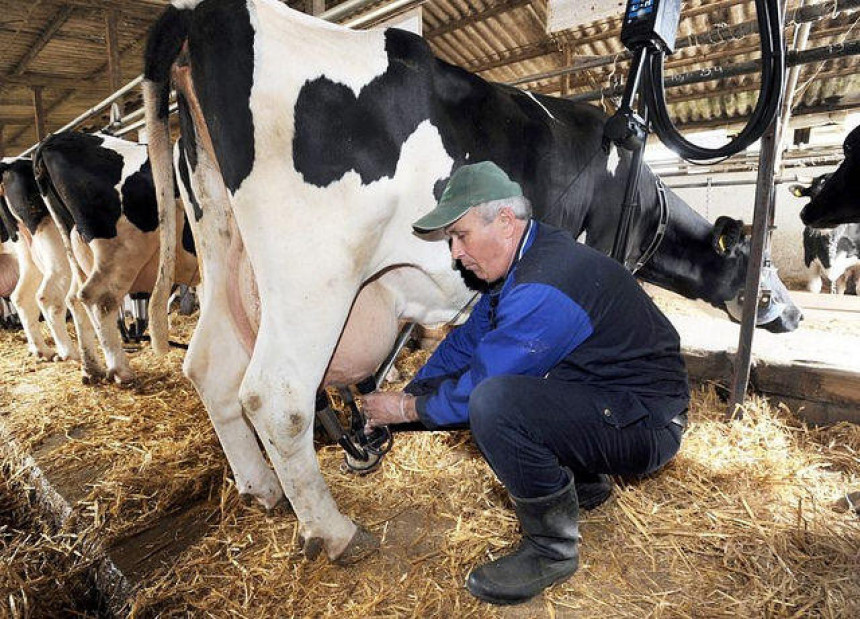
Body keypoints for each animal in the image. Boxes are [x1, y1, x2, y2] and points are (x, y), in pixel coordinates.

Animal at [0, 160, 78, 360]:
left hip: (26, 250)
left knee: (21, 296)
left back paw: (42, 351)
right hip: (56, 244)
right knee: (48, 296)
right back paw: (69, 353)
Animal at [32, 131, 200, 382]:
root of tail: (56, 139)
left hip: (76, 252)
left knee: (74, 299)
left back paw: (91, 368)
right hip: (122, 250)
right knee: (98, 298)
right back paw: (120, 371)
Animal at [143, 0, 808, 564]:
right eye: (763, 264)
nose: (797, 314)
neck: (639, 190)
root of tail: (203, 14)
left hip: (222, 245)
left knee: (208, 367)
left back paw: (263, 490)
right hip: (312, 269)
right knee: (274, 394)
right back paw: (335, 532)